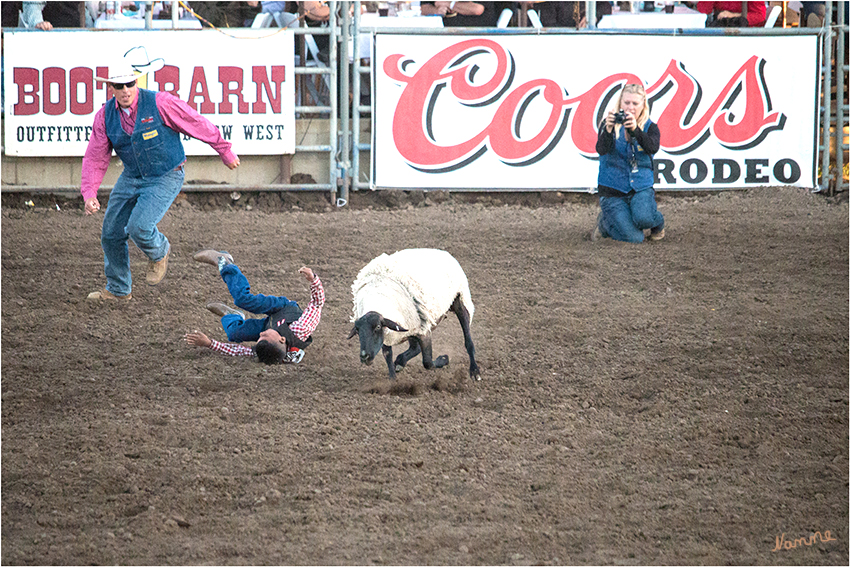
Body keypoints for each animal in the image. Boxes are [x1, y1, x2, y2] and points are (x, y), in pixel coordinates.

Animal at [344, 248, 476, 382]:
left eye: (377, 327)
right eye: (357, 330)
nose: (364, 357)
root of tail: (444, 252)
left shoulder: (423, 332)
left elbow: (427, 363)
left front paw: (444, 359)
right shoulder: (389, 334)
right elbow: (388, 356)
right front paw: (393, 378)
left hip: (461, 300)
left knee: (468, 340)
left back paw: (475, 371)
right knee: (414, 348)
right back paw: (400, 362)